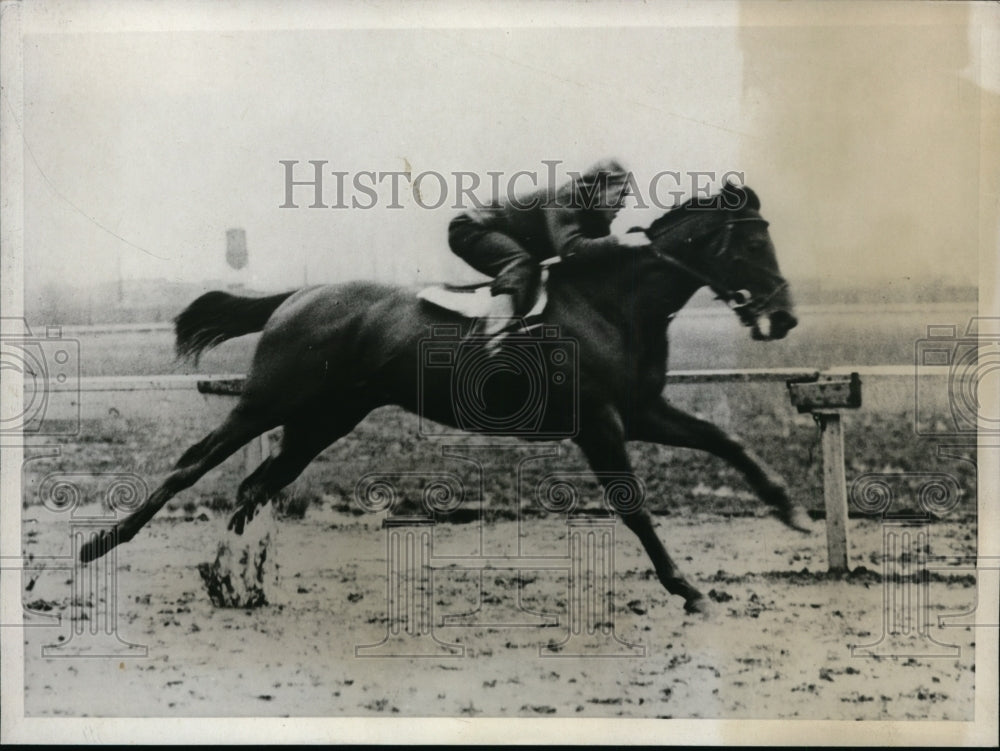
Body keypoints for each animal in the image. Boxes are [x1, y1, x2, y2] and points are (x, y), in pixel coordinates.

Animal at [82, 182, 808, 616]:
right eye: (751, 240)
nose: (784, 318)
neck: (613, 301)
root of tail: (297, 294)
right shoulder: (600, 424)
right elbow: (633, 508)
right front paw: (686, 587)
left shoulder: (641, 410)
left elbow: (726, 440)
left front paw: (790, 509)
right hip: (269, 401)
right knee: (194, 465)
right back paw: (101, 544)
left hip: (323, 419)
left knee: (255, 484)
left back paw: (227, 581)